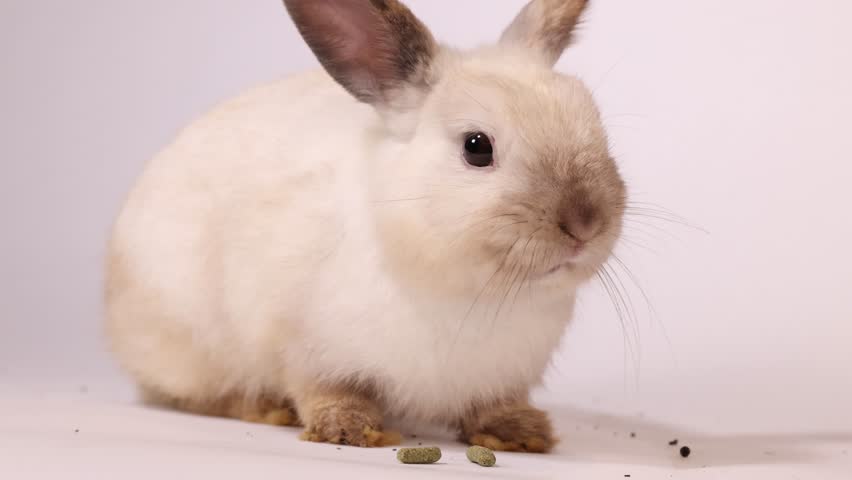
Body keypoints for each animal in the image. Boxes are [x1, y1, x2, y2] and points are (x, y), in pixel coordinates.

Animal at [105, 0, 626, 452]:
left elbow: (494, 405)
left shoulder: (502, 375)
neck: (471, 291)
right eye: (477, 147)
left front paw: (521, 433)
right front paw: (349, 429)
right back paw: (264, 409)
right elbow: (324, 389)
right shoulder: (302, 345)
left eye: (598, 130)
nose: (585, 222)